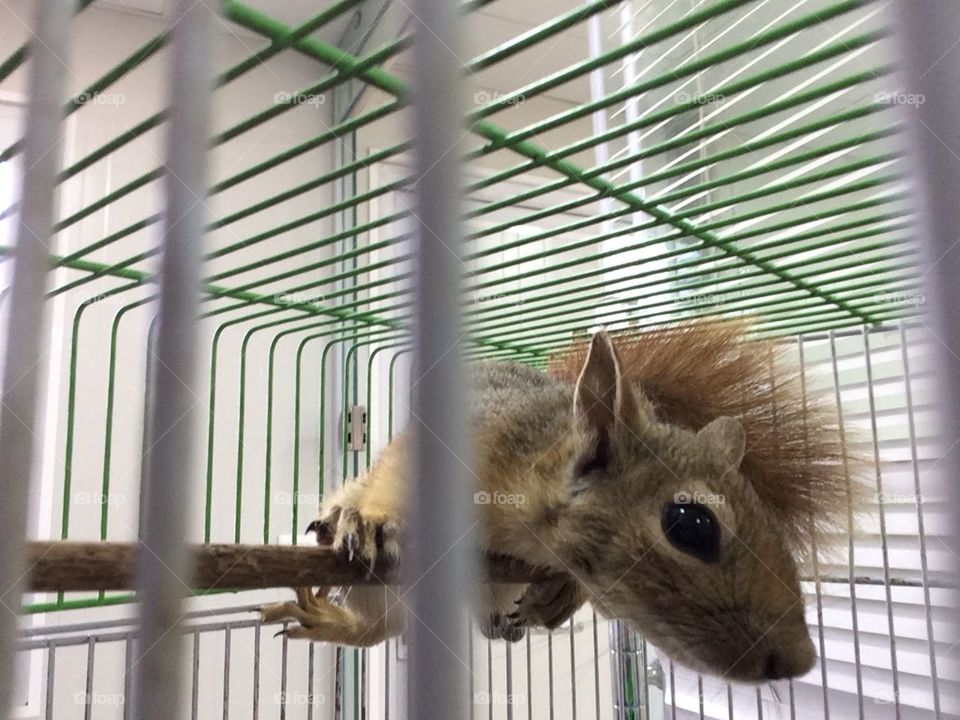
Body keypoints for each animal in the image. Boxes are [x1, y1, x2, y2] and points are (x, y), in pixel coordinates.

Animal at [260, 319, 859, 683]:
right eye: (691, 524)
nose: (800, 661)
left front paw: (562, 595)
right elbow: (394, 479)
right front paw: (373, 520)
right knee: (380, 627)